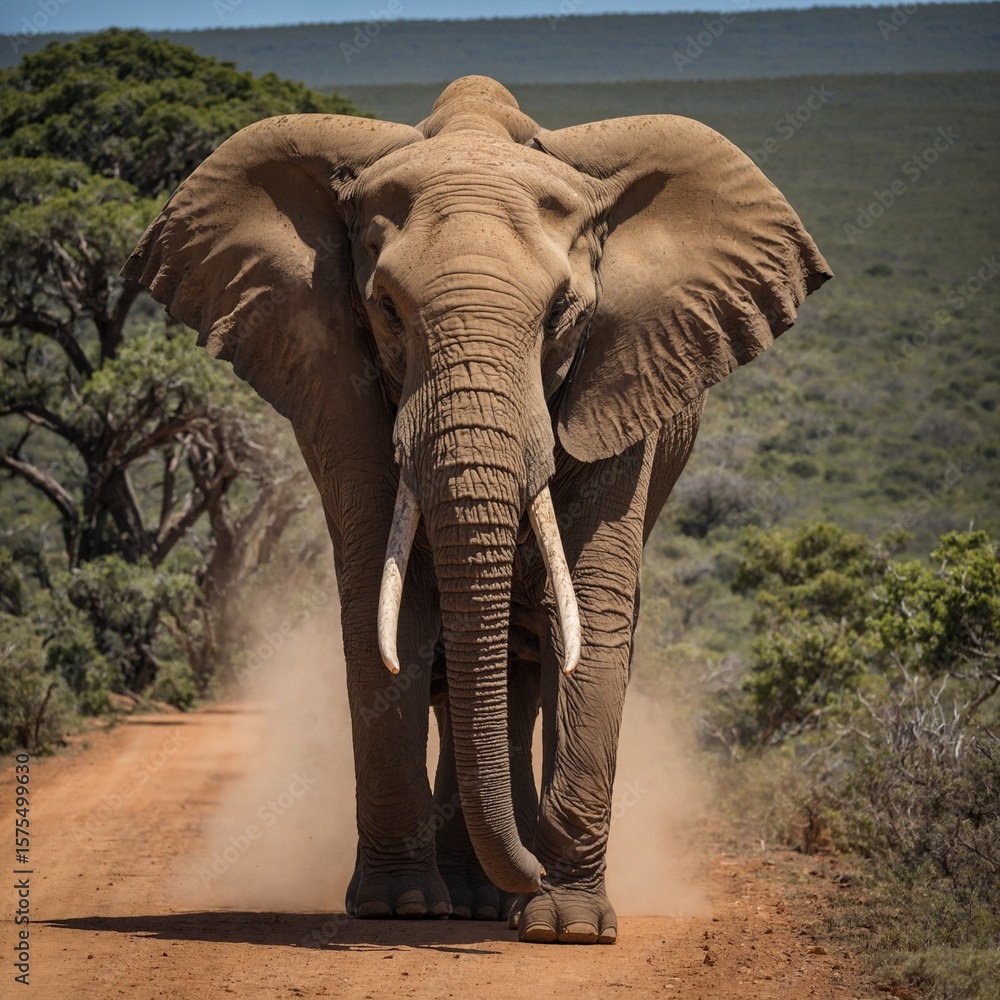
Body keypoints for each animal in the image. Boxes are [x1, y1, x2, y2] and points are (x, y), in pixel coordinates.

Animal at [122, 75, 831, 944]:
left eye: (562, 313)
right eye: (387, 310)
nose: (533, 873)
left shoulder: (627, 376)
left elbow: (590, 620)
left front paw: (567, 927)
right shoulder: (343, 391)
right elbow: (386, 620)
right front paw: (399, 908)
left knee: (522, 660)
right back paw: (473, 898)